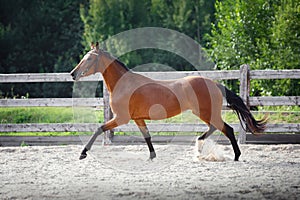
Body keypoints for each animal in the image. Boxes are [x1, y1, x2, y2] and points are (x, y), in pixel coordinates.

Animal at [71, 41, 268, 161]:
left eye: (90, 58)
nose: (73, 74)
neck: (124, 84)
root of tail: (214, 83)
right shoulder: (138, 119)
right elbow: (147, 136)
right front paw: (152, 156)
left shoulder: (121, 118)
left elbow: (99, 129)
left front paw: (82, 153)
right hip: (205, 113)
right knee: (215, 128)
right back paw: (199, 144)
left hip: (205, 112)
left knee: (227, 129)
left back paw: (235, 156)